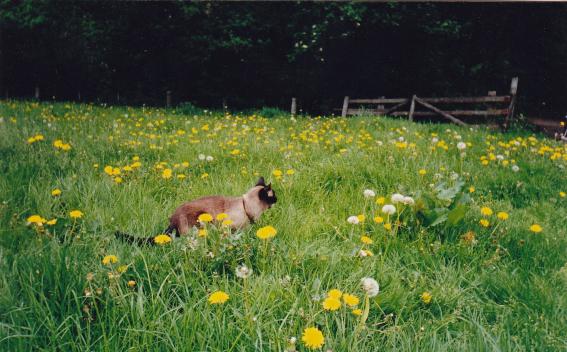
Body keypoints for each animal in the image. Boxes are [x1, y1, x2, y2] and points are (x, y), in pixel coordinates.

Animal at [115, 177, 278, 246]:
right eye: (273, 196)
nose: (278, 199)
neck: (246, 206)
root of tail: (172, 220)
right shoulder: (230, 228)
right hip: (203, 220)